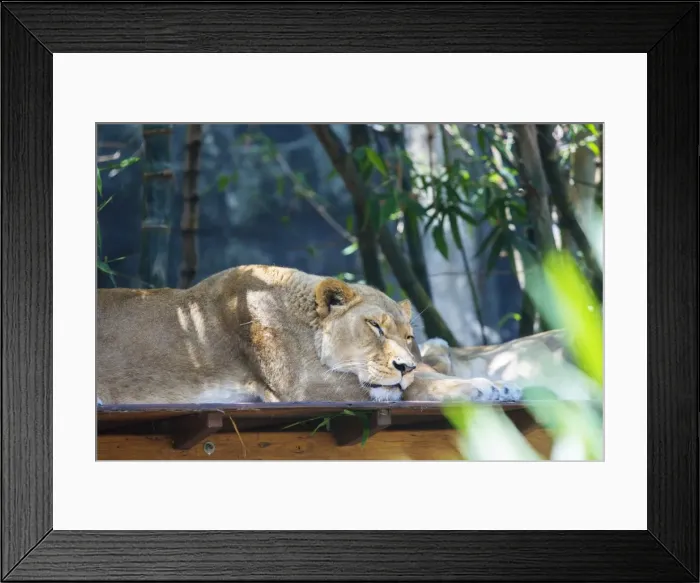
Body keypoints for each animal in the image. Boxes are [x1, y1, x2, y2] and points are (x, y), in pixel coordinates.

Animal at [97, 264, 521, 406]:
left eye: (409, 337)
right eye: (375, 326)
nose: (404, 364)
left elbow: (422, 377)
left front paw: (503, 384)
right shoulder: (303, 387)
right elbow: (412, 386)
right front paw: (479, 387)